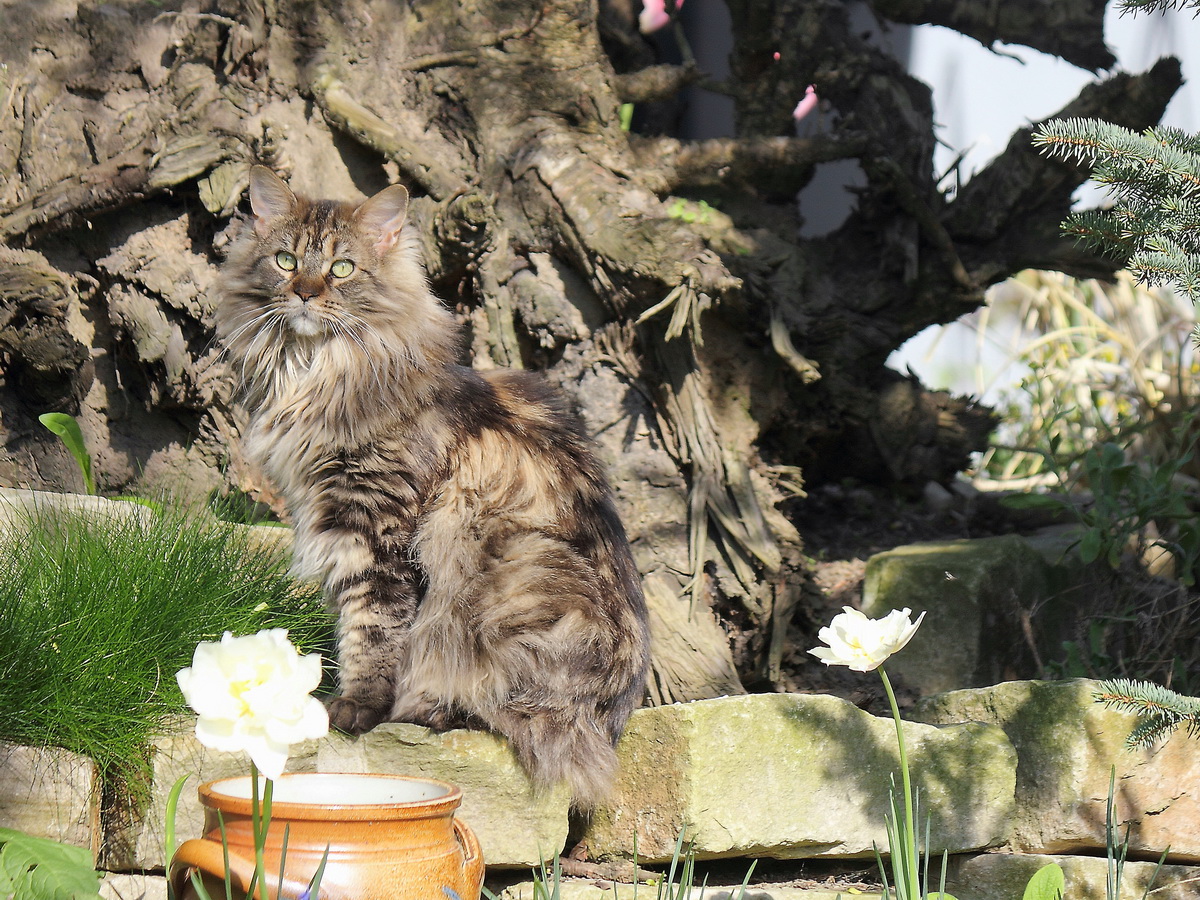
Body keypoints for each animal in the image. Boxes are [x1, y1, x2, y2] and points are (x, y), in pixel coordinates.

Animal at [216, 165, 648, 806]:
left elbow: (374, 627)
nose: (305, 293)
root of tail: (611, 722)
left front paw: (356, 706)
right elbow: (355, 620)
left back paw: (433, 710)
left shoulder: (376, 528)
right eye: (285, 260)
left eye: (342, 268)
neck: (318, 372)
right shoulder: (336, 520)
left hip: (515, 580)